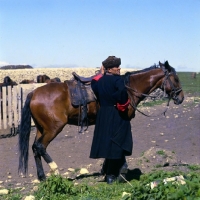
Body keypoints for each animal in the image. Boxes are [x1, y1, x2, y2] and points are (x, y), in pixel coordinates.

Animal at [18, 60, 184, 180]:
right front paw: (121, 171)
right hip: (53, 128)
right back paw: (55, 169)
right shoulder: (123, 121)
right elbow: (119, 143)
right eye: (176, 78)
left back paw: (42, 177)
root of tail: (33, 93)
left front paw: (106, 170)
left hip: (42, 128)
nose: (181, 98)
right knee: (40, 146)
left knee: (34, 147)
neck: (129, 88)